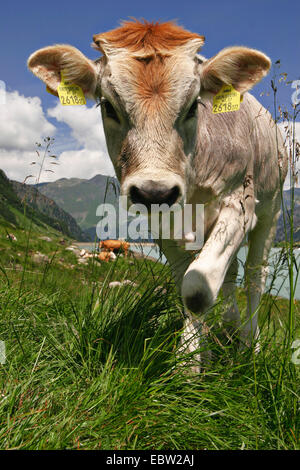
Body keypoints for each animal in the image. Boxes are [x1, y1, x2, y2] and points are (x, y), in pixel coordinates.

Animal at [28, 20, 288, 370]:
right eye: (108, 106)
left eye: (193, 106)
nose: (155, 191)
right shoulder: (163, 224)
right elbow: (186, 284)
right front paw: (198, 356)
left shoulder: (239, 203)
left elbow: (198, 288)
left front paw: (187, 368)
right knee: (231, 273)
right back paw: (230, 329)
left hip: (270, 207)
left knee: (255, 275)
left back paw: (250, 344)